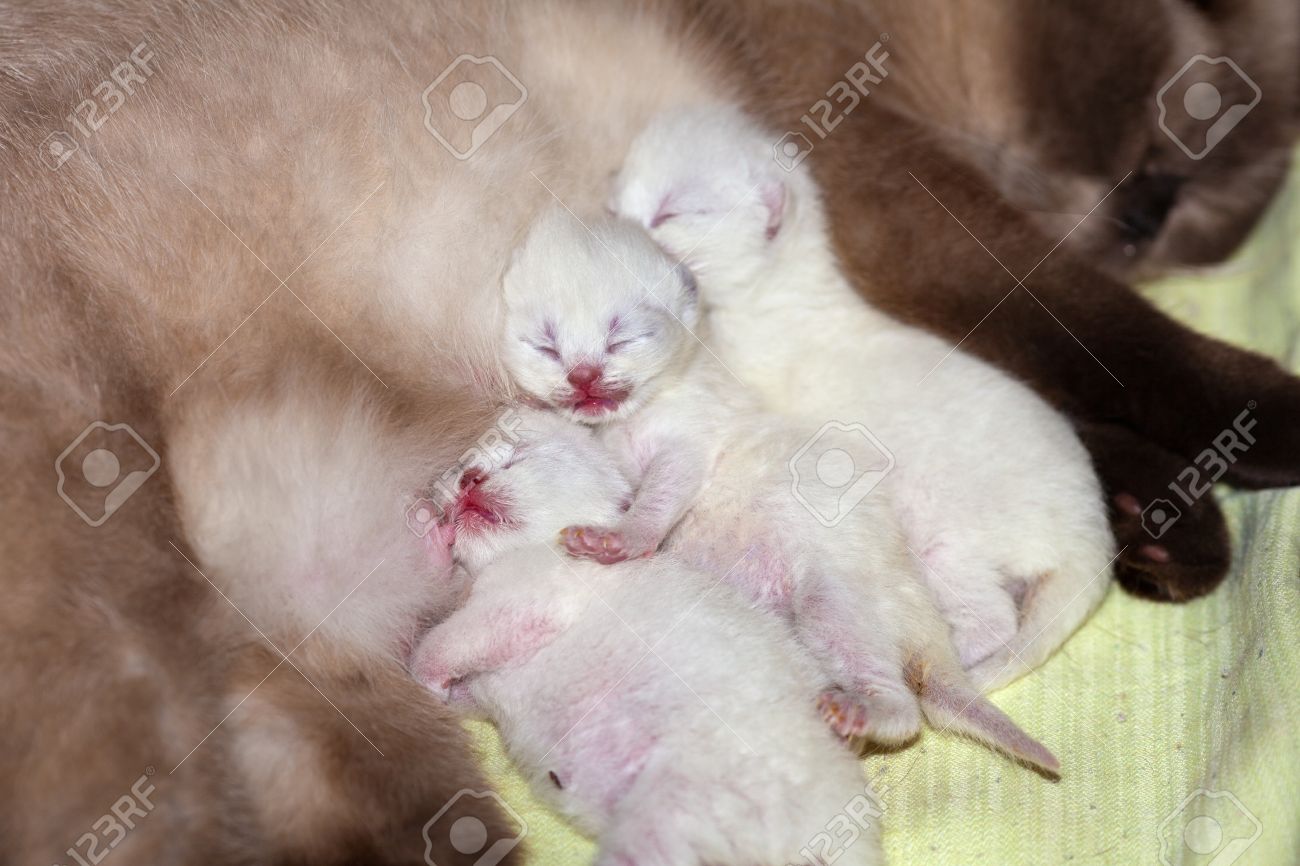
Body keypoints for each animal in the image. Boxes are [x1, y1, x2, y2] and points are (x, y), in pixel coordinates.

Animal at [410, 408, 889, 863]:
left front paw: (419, 672)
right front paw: (435, 540)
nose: (470, 478)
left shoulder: (528, 599)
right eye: (462, 466)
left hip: (678, 803)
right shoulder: (482, 691)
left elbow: (445, 644)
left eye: (519, 456)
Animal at [493, 208, 1055, 769]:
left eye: (621, 338)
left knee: (903, 709)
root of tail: (928, 629)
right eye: (545, 346)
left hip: (836, 599)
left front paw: (623, 538)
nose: (583, 376)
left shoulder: (693, 435)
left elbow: (665, 489)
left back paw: (862, 712)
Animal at [611, 105, 1118, 686]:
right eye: (616, 198)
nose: (611, 226)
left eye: (670, 212)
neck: (778, 294)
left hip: (947, 538)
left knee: (993, 620)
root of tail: (1092, 534)